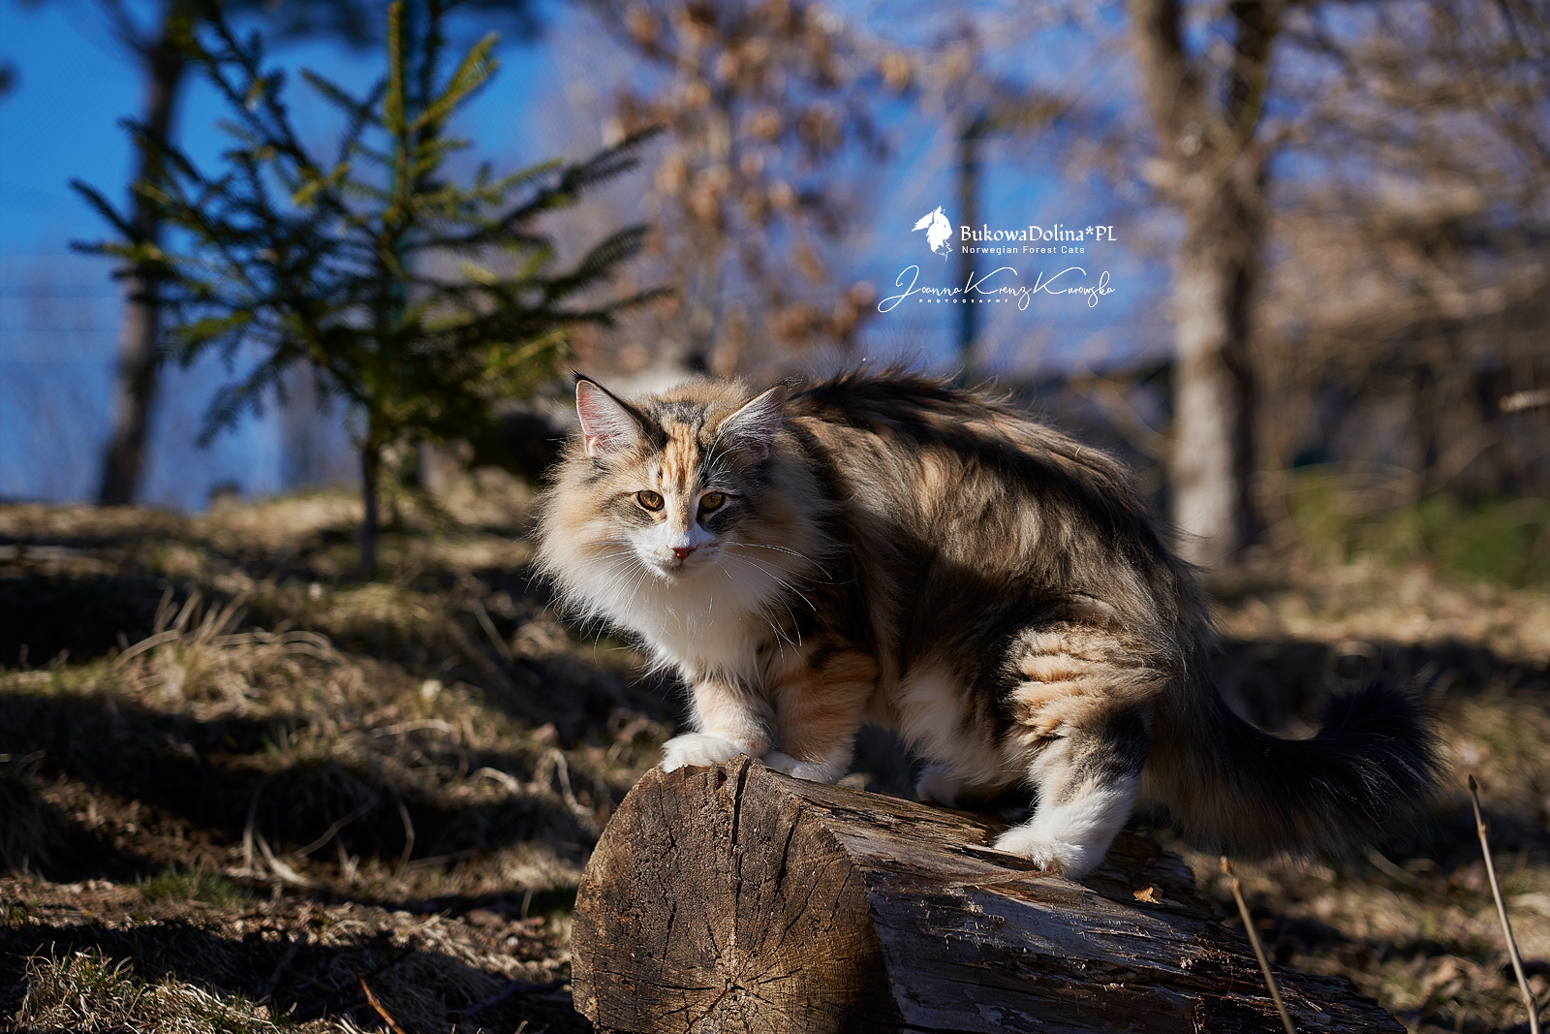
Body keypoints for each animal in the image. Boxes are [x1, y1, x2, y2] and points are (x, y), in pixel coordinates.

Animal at [534, 369, 1439, 879]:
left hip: (1039, 647)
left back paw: (1051, 848)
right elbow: (730, 704)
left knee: (1105, 751)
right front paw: (723, 750)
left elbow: (816, 714)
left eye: (716, 502)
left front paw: (798, 767)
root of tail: (1158, 563)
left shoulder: (827, 622)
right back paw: (954, 786)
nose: (682, 547)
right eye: (649, 502)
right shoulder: (716, 650)